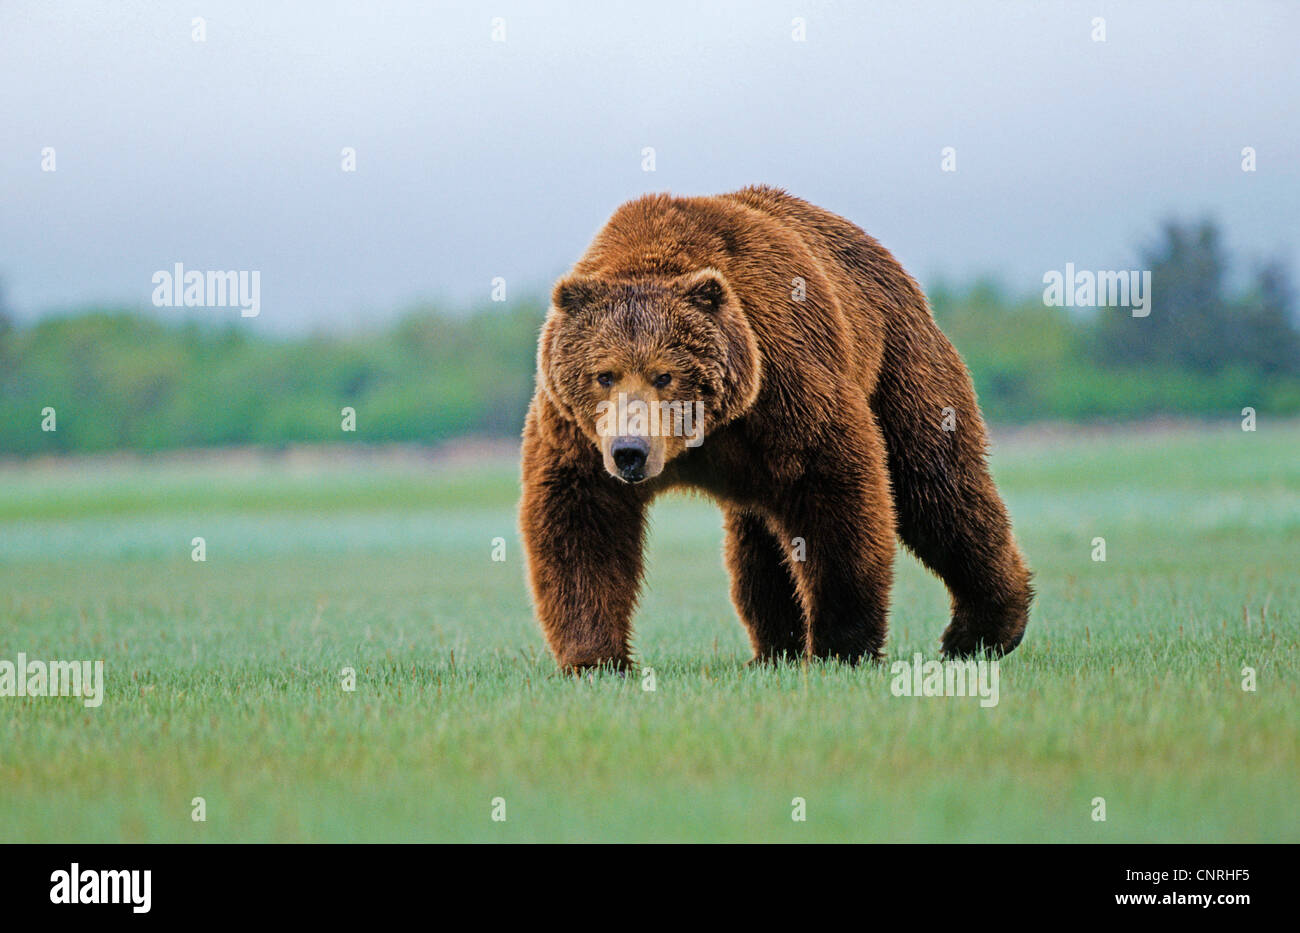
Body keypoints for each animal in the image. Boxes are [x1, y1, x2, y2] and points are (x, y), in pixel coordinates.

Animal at [512, 185, 1029, 670]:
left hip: (898, 361)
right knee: (759, 542)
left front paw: (840, 645)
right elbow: (581, 522)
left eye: (665, 374)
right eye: (604, 374)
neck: (705, 433)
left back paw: (982, 630)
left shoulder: (785, 383)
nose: (630, 451)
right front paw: (595, 657)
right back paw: (774, 648)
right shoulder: (576, 432)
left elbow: (836, 495)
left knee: (937, 486)